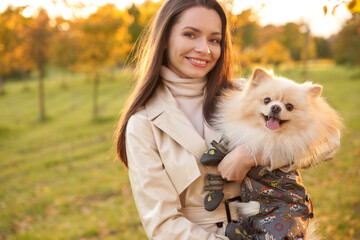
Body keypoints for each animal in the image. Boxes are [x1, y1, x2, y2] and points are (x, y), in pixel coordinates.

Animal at [202, 68, 344, 240]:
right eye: (267, 100)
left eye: (289, 106)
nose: (276, 107)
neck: (265, 133)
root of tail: (260, 209)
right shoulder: (242, 136)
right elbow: (224, 150)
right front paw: (212, 155)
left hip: (281, 217)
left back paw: (237, 231)